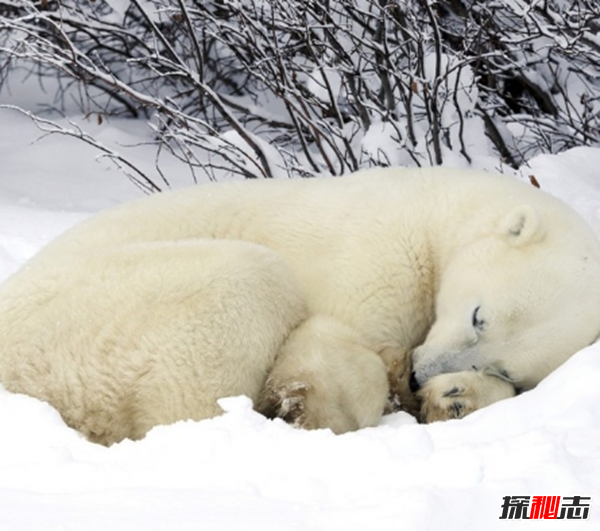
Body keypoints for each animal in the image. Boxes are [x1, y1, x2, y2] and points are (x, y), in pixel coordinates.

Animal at [1, 167, 600, 444]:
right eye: (479, 316)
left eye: (504, 366)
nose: (418, 374)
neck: (437, 212)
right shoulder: (378, 254)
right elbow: (328, 344)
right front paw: (325, 405)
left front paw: (453, 398)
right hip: (88, 319)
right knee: (246, 285)